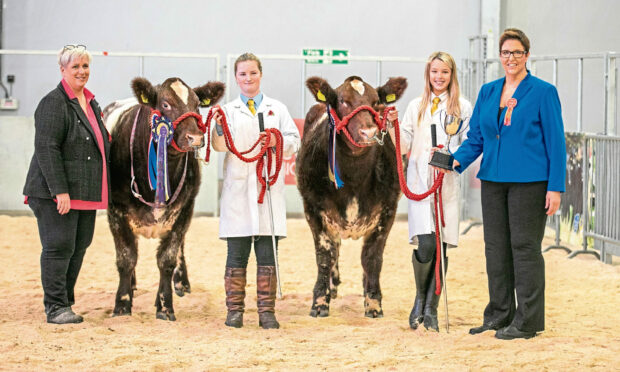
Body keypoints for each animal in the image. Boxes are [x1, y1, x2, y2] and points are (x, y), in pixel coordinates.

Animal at [104, 77, 225, 320]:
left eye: (197, 104)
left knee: (180, 248)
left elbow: (167, 259)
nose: (195, 138)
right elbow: (126, 257)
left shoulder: (184, 209)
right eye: (166, 104)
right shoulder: (116, 210)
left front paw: (165, 305)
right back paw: (132, 285)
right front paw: (122, 304)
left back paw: (181, 283)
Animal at [296, 75, 406, 316]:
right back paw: (333, 285)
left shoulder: (387, 210)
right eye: (344, 101)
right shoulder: (314, 209)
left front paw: (373, 302)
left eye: (376, 102)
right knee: (335, 248)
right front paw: (320, 301)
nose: (369, 133)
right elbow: (324, 257)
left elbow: (372, 258)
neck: (354, 177)